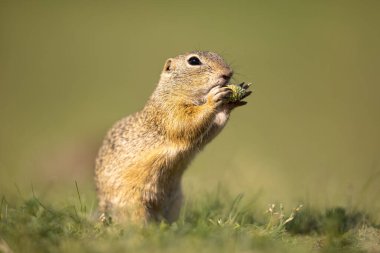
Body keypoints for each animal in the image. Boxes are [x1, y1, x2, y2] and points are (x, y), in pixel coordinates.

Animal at [95, 51, 251, 223]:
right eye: (193, 61)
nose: (228, 73)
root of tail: (103, 209)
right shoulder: (169, 110)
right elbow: (186, 123)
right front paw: (214, 98)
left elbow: (209, 131)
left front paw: (228, 104)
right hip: (134, 204)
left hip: (175, 202)